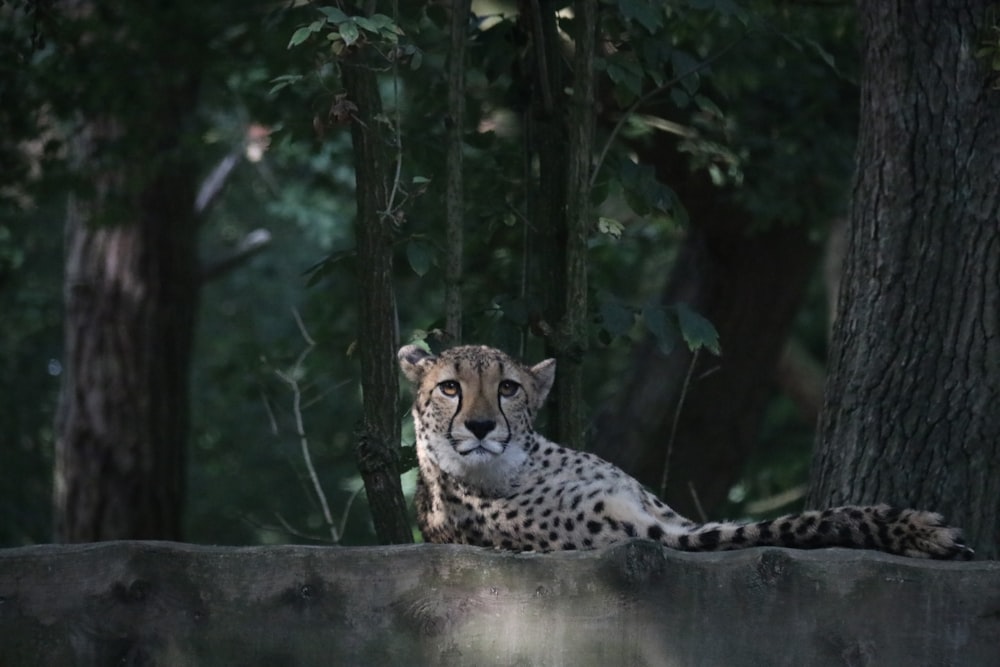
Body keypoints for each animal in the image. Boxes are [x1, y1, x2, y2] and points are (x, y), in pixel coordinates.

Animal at [394, 344, 972, 560]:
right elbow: (788, 524)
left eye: (508, 388)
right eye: (450, 388)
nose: (481, 425)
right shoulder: (658, 534)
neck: (519, 468)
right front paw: (916, 529)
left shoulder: (669, 516)